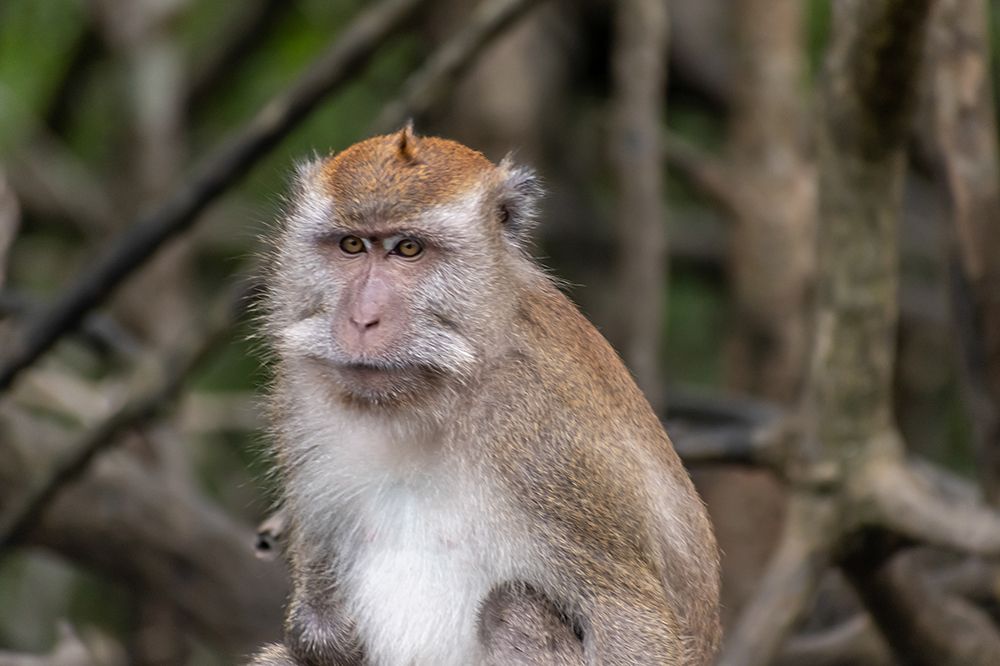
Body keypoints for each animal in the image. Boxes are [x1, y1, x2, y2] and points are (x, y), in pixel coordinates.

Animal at [249, 125, 721, 665]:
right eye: (351, 245)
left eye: (407, 249)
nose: (363, 318)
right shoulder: (296, 399)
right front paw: (320, 631)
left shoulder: (544, 437)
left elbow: (630, 620)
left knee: (513, 607)